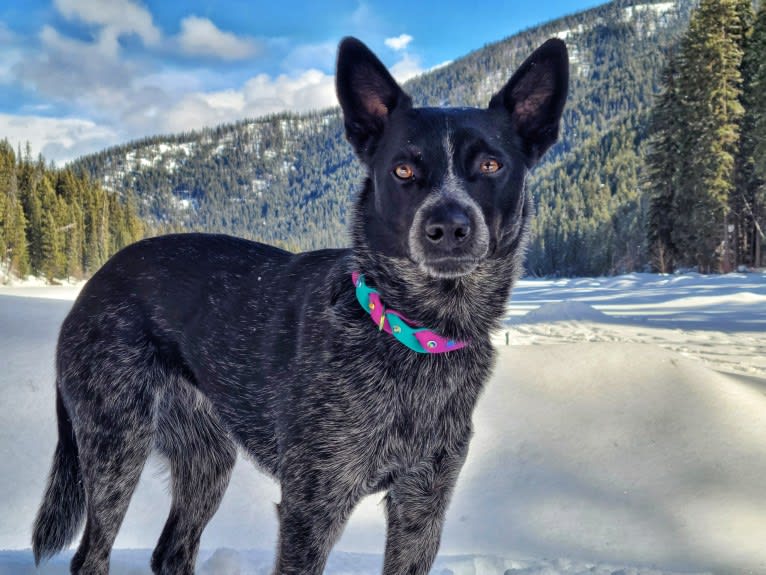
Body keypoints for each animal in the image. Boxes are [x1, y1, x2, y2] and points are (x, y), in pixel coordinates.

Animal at [33, 37, 568, 575]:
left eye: (491, 165)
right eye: (403, 169)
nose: (449, 226)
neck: (412, 331)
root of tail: (95, 282)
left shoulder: (422, 504)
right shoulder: (313, 504)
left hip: (208, 462)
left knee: (171, 552)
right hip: (116, 445)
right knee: (92, 554)